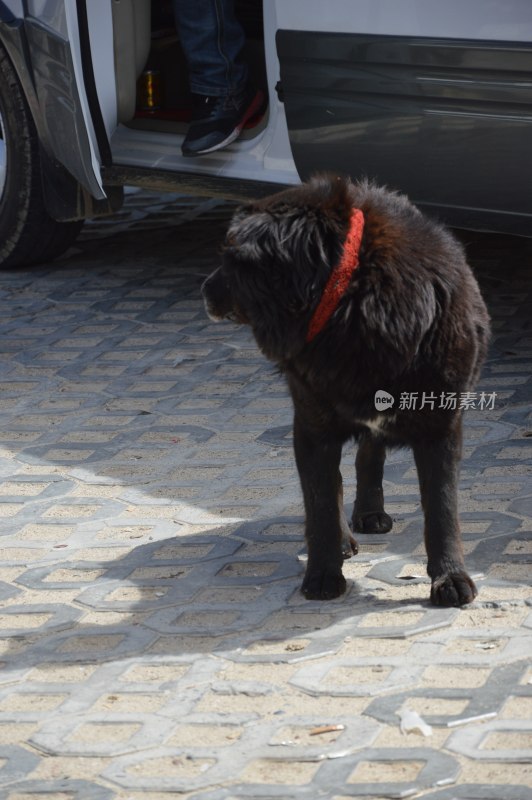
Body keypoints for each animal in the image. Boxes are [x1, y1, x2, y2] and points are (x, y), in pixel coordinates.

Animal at [203, 177, 490, 608]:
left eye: (231, 257)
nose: (203, 290)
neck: (353, 296)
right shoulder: (313, 426)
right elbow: (321, 503)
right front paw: (324, 572)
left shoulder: (440, 426)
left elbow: (441, 510)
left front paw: (450, 577)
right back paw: (343, 539)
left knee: (368, 457)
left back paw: (369, 513)